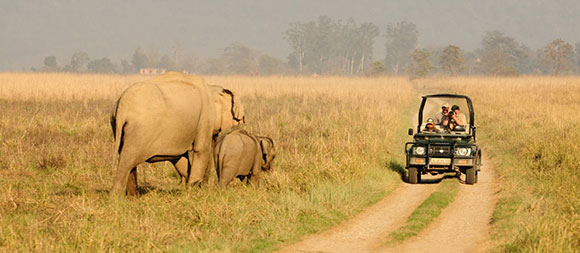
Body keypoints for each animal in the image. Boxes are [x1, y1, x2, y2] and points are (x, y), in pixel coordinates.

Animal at [110, 71, 245, 196]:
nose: (205, 186)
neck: (210, 87)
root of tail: (122, 107)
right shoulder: (205, 117)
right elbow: (201, 150)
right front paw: (193, 191)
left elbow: (179, 157)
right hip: (140, 130)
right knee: (128, 160)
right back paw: (116, 197)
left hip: (120, 127)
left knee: (127, 159)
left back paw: (133, 197)